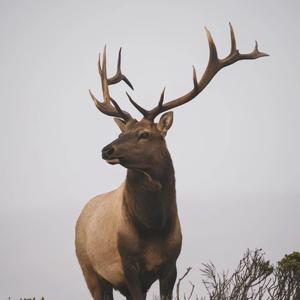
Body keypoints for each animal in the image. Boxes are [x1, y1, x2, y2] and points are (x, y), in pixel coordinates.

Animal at [75, 24, 268, 300]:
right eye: (122, 133)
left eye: (145, 134)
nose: (106, 149)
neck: (154, 227)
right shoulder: (127, 265)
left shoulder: (171, 265)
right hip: (89, 270)